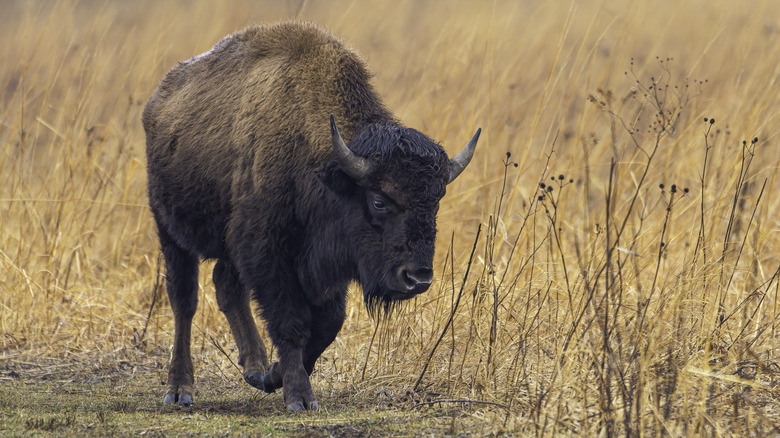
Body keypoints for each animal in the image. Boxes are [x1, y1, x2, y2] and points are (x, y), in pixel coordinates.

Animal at [142, 22, 480, 411]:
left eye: (436, 201)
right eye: (379, 201)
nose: (418, 277)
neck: (322, 165)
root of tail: (158, 99)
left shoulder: (325, 266)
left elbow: (327, 325)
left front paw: (272, 375)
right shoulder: (268, 253)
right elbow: (292, 322)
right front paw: (299, 397)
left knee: (226, 285)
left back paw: (254, 367)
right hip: (169, 230)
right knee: (184, 300)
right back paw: (179, 389)